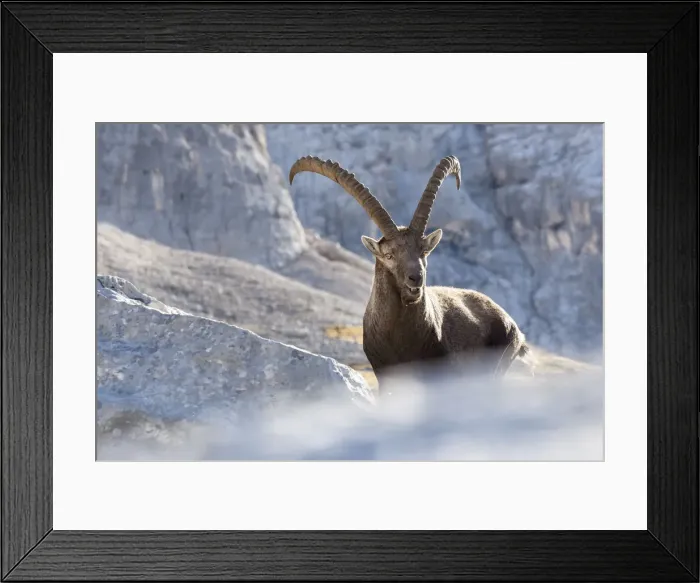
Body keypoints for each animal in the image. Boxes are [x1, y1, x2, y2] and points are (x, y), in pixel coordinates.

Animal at [289, 155, 533, 387]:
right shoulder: (384, 375)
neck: (400, 337)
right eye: (389, 255)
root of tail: (511, 323)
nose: (416, 278)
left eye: (424, 251)